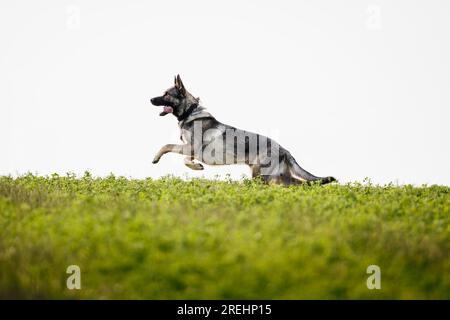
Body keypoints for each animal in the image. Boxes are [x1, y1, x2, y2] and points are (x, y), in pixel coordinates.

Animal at [149, 74, 336, 185]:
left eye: (166, 94)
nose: (150, 99)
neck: (190, 111)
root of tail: (284, 150)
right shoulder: (190, 149)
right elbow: (185, 158)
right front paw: (195, 166)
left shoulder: (190, 147)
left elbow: (167, 146)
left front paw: (157, 158)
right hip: (277, 177)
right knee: (303, 184)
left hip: (262, 176)